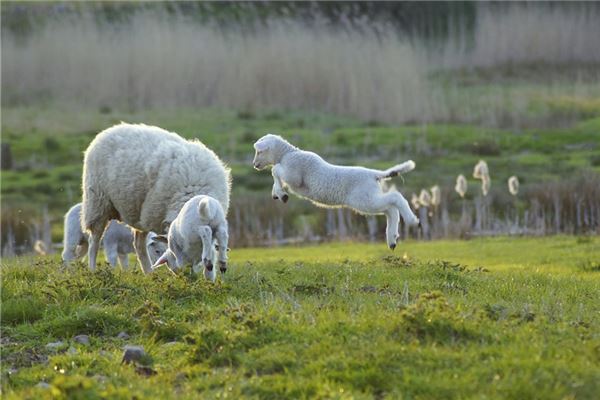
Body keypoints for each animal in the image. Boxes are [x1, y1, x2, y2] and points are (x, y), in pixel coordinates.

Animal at [79, 123, 230, 274]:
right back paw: (92, 269)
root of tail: (109, 130)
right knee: (94, 240)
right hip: (97, 202)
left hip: (138, 212)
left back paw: (148, 273)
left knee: (139, 244)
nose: (182, 272)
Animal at [252, 134, 418, 250]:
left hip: (365, 199)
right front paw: (277, 194)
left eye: (259, 152)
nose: (254, 165)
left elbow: (275, 170)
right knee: (391, 210)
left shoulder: (294, 175)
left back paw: (412, 221)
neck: (287, 154)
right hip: (369, 199)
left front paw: (281, 193)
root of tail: (374, 174)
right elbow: (276, 174)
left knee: (395, 198)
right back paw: (392, 239)